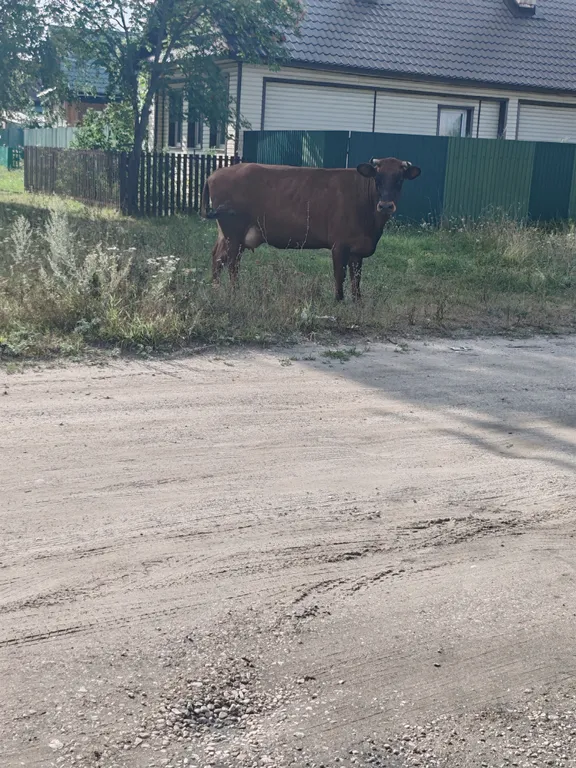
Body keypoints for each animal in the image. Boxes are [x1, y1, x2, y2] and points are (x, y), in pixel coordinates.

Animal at [201, 157, 421, 301]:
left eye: (399, 179)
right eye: (377, 178)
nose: (386, 205)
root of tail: (214, 174)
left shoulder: (357, 250)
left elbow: (356, 278)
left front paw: (358, 302)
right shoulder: (339, 245)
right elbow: (339, 275)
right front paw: (338, 300)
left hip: (226, 234)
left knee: (217, 258)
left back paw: (215, 289)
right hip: (234, 233)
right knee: (232, 263)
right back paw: (234, 292)